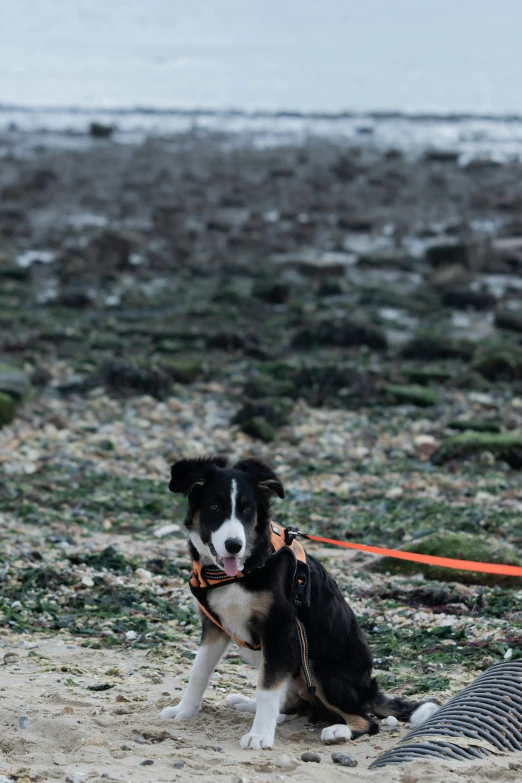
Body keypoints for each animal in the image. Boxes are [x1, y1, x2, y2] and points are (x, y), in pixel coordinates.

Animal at [160, 456, 436, 752]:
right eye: (214, 506)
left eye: (247, 509)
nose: (234, 545)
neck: (245, 569)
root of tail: (368, 691)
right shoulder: (215, 625)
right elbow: (199, 671)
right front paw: (184, 710)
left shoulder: (279, 629)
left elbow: (267, 688)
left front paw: (260, 735)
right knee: (289, 702)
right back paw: (248, 704)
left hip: (317, 667)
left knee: (367, 720)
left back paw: (338, 731)